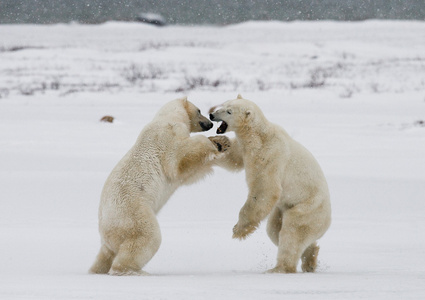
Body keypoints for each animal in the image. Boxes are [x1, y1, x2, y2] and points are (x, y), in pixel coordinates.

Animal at [88, 97, 229, 276]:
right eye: (199, 110)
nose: (209, 123)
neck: (167, 117)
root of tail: (104, 230)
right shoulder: (166, 136)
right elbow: (179, 159)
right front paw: (215, 142)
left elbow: (189, 173)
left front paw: (222, 144)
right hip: (133, 214)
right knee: (147, 237)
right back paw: (135, 271)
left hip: (112, 236)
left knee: (105, 255)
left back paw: (97, 270)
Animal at [209, 95, 332, 274]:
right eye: (223, 105)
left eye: (229, 111)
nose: (211, 115)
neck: (259, 135)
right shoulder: (245, 149)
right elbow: (234, 157)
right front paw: (217, 144)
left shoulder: (270, 156)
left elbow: (264, 189)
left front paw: (238, 230)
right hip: (283, 208)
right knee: (275, 229)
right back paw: (310, 258)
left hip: (307, 208)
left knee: (293, 231)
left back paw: (280, 268)